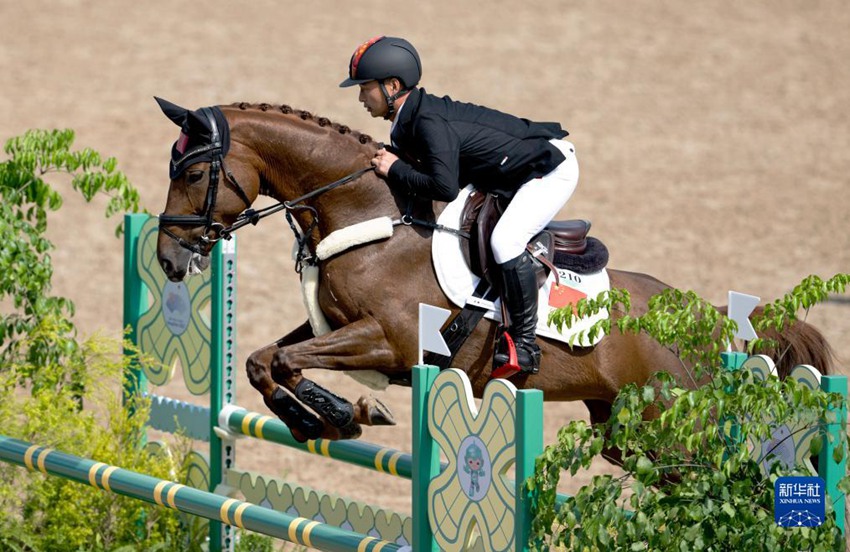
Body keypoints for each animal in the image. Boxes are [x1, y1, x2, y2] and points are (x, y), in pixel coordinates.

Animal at [156, 99, 832, 444]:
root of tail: (702, 319)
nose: (168, 258)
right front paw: (332, 416)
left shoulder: (390, 340)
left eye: (195, 173)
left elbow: (284, 360)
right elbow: (264, 360)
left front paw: (343, 415)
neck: (368, 214)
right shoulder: (332, 325)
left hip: (665, 423)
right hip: (620, 428)